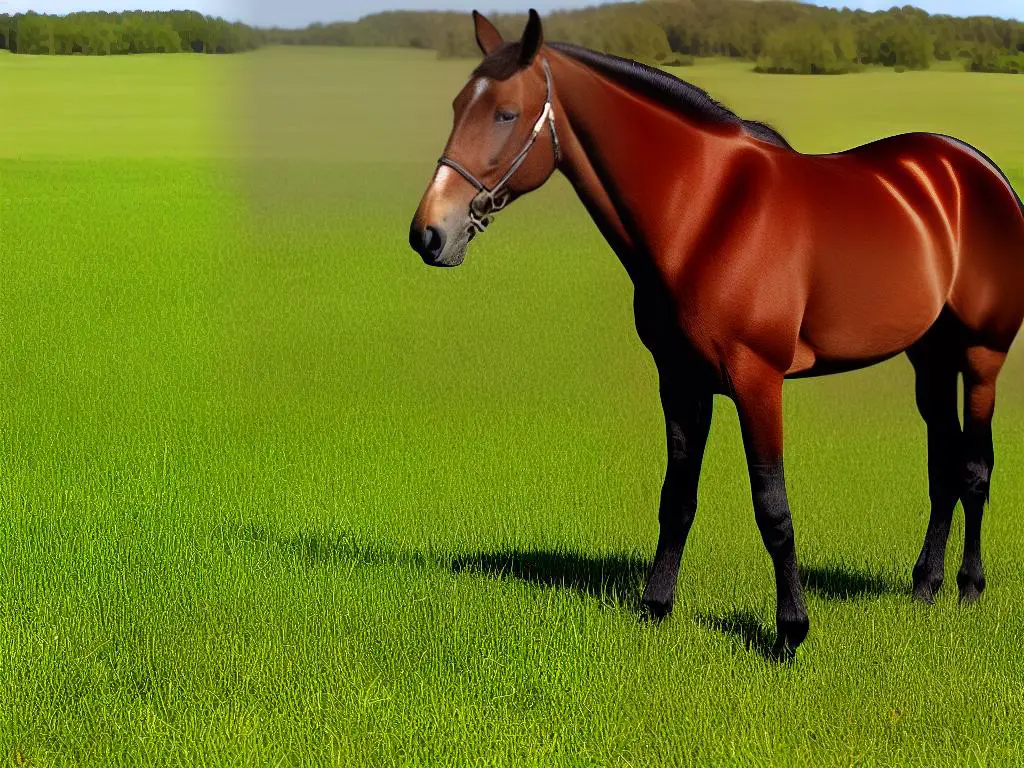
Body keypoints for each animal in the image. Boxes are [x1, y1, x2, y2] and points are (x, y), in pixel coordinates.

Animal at [407, 9, 1024, 655]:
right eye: (458, 105)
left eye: (505, 112)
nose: (430, 233)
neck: (706, 212)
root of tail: (977, 170)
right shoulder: (680, 380)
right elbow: (676, 498)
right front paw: (655, 607)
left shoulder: (758, 382)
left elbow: (772, 508)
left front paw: (790, 632)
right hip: (929, 357)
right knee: (943, 465)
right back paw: (924, 586)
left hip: (982, 354)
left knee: (974, 469)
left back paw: (969, 588)